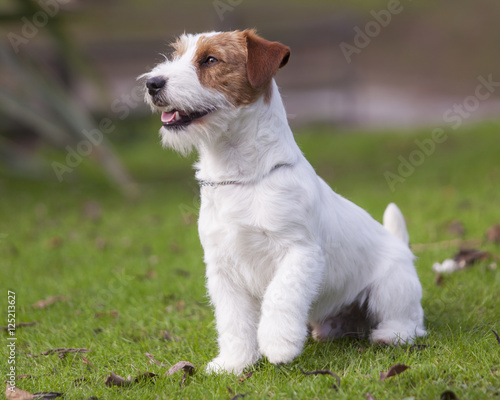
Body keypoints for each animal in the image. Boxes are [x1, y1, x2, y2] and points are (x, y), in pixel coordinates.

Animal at [141, 28, 426, 376]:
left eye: (209, 59)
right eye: (177, 55)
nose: (152, 83)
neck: (241, 177)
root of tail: (400, 244)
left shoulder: (299, 253)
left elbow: (280, 295)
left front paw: (278, 345)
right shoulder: (223, 268)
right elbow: (233, 321)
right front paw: (234, 363)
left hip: (392, 286)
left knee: (410, 321)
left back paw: (390, 334)